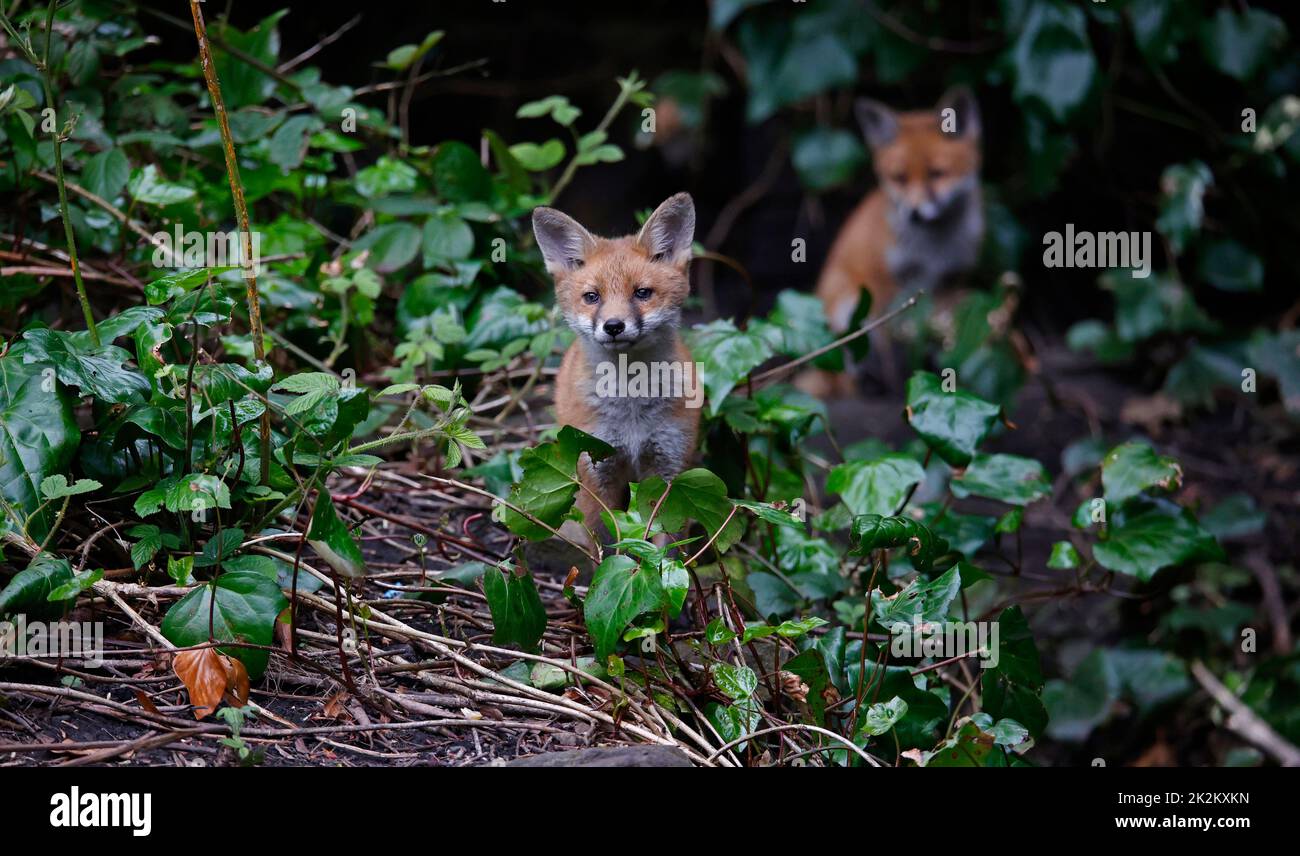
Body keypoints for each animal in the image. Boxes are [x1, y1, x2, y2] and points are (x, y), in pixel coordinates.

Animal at [532, 193, 701, 543]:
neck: (631, 407)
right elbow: (607, 542)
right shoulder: (596, 469)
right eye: (592, 297)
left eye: (642, 293)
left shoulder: (669, 469)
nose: (613, 326)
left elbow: (667, 545)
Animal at [806, 88, 983, 394]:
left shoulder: (950, 280)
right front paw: (893, 380)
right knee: (843, 365)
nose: (914, 213)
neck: (932, 251)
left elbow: (938, 336)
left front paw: (941, 375)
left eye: (937, 174)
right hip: (846, 299)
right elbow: (884, 343)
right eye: (899, 178)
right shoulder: (881, 281)